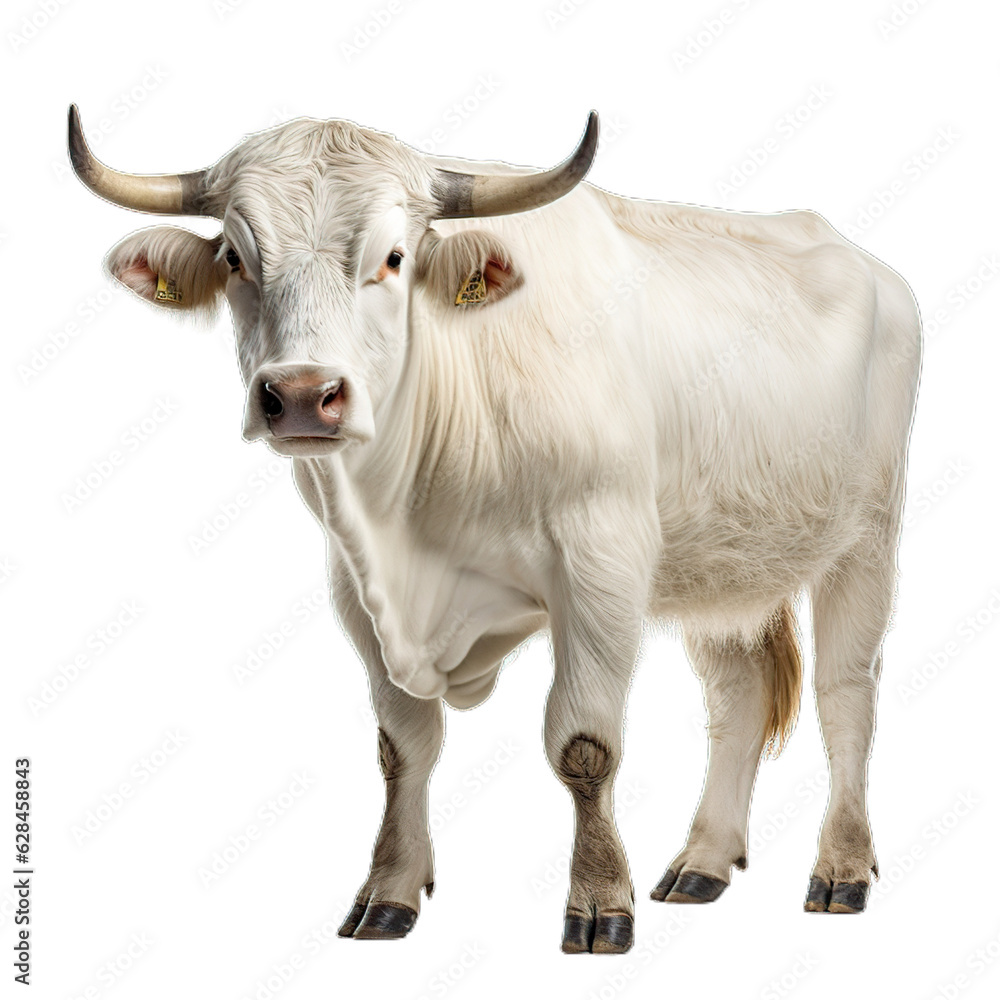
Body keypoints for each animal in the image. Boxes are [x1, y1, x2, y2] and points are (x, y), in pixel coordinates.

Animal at [68, 104, 921, 954]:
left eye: (394, 258)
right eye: (237, 260)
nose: (305, 394)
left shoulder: (601, 564)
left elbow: (584, 745)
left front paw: (599, 902)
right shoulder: (355, 590)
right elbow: (402, 748)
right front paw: (389, 892)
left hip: (866, 536)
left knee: (847, 694)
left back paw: (842, 868)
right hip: (724, 564)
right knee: (738, 698)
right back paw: (703, 863)